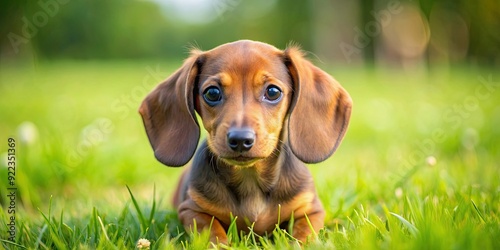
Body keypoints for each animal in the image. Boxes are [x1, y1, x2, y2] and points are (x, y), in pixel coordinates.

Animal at [139, 39, 354, 244]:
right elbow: (212, 233)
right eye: (212, 93)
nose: (241, 140)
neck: (250, 179)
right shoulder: (192, 210)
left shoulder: (310, 210)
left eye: (273, 92)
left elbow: (303, 235)